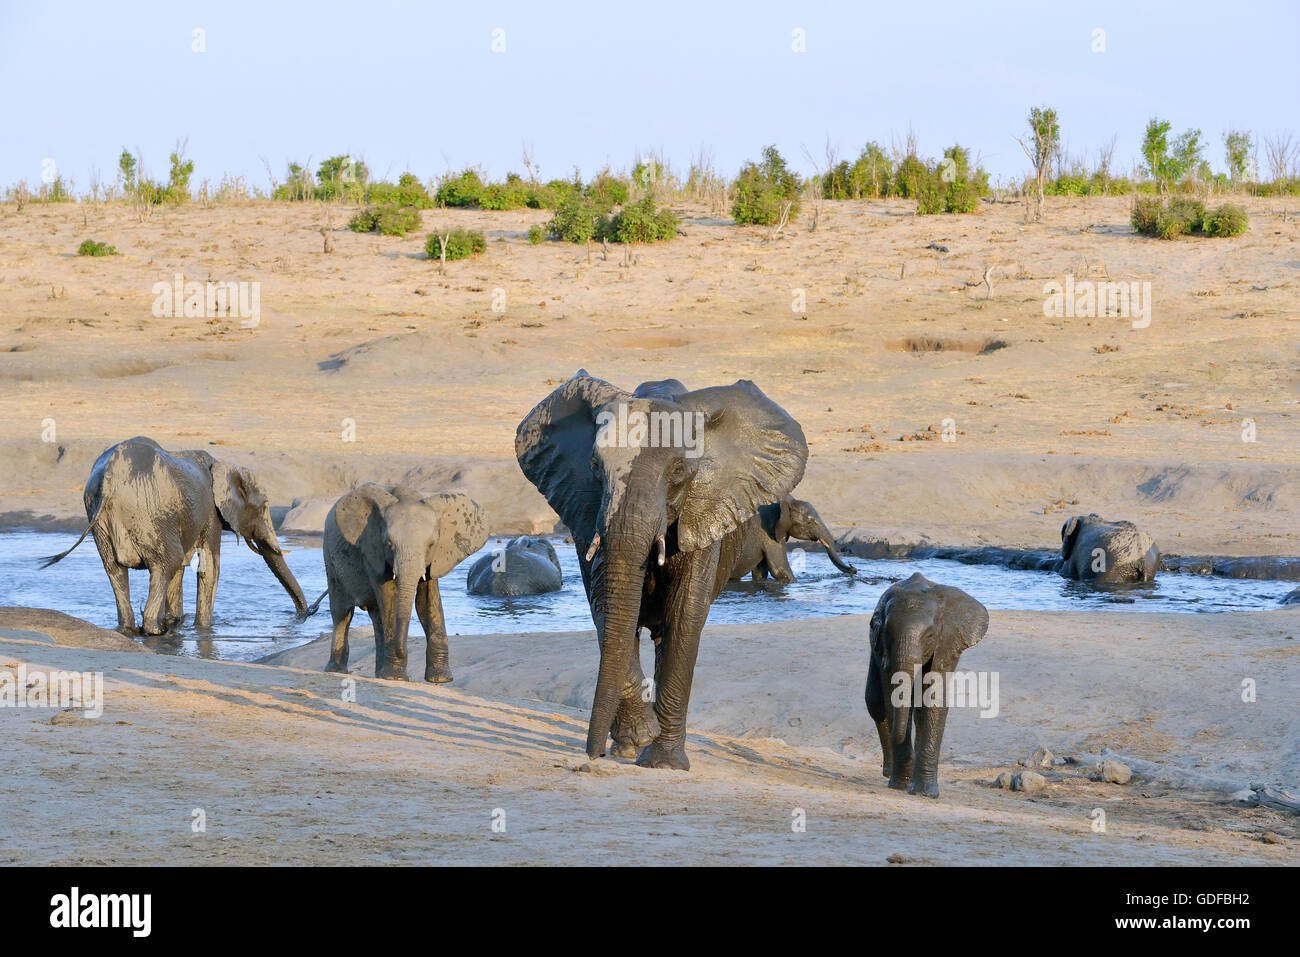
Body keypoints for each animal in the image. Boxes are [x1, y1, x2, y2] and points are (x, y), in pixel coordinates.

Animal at [39, 434, 306, 634]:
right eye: (264, 506)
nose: (306, 613)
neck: (224, 464)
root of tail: (110, 478)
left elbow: (182, 570)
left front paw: (179, 620)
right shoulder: (210, 513)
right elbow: (209, 567)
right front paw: (202, 629)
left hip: (99, 518)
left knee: (116, 570)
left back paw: (133, 628)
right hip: (148, 511)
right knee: (166, 562)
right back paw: (157, 630)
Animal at [514, 369, 800, 764]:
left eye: (679, 470)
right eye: (594, 466)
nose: (593, 756)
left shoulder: (704, 512)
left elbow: (685, 613)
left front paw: (663, 762)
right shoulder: (587, 511)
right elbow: (607, 605)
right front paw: (637, 737)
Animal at [728, 494, 857, 582]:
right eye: (809, 523)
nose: (853, 568)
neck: (786, 501)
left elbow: (761, 572)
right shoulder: (767, 531)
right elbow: (780, 570)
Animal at [868, 574, 987, 800]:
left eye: (930, 636)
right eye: (888, 634)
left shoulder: (946, 643)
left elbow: (932, 702)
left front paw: (925, 794)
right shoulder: (883, 648)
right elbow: (892, 699)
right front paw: (900, 785)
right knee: (875, 703)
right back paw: (889, 771)